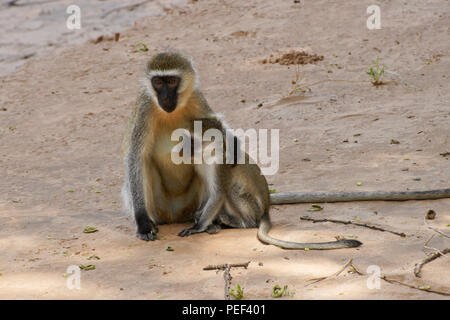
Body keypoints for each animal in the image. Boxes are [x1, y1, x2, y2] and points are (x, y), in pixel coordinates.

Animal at [121, 51, 450, 250]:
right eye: (157, 83)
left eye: (171, 81)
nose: (165, 97)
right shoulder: (145, 107)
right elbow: (136, 156)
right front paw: (143, 221)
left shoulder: (204, 118)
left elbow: (220, 184)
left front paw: (203, 224)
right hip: (163, 206)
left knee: (230, 197)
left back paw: (222, 222)